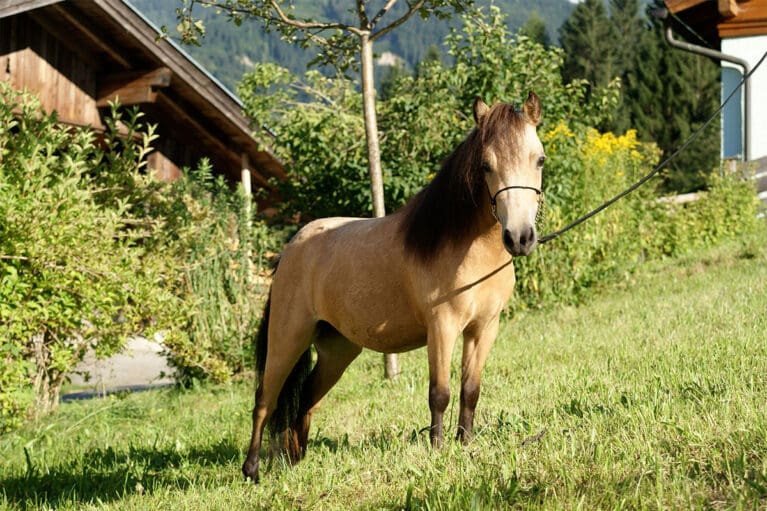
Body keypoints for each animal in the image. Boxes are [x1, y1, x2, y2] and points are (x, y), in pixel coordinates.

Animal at [242, 93, 544, 484]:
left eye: (539, 159)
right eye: (486, 166)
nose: (520, 238)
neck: (467, 246)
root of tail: (291, 248)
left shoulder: (483, 329)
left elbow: (470, 390)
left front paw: (465, 443)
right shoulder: (442, 328)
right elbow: (440, 394)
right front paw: (438, 449)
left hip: (337, 350)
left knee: (306, 397)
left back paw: (296, 459)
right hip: (287, 339)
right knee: (266, 400)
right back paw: (252, 469)